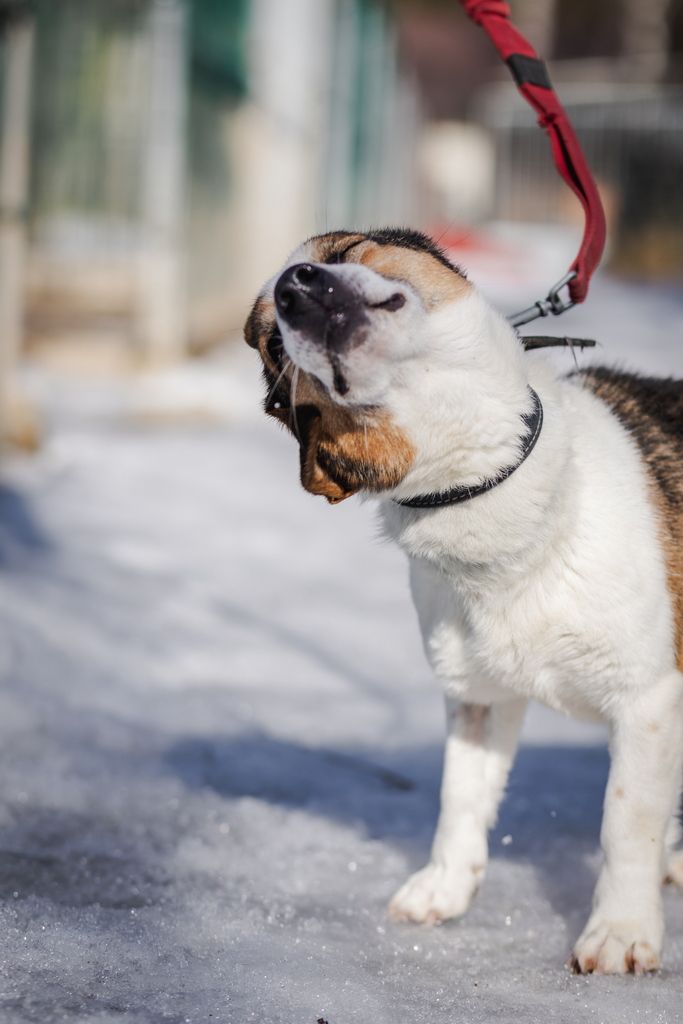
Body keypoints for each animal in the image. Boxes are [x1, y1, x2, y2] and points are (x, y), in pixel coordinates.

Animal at [244, 227, 683, 974]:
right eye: (273, 342)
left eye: (349, 248)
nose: (293, 286)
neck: (485, 479)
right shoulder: (476, 695)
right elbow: (460, 797)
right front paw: (444, 888)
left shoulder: (649, 698)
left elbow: (626, 820)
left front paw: (621, 931)